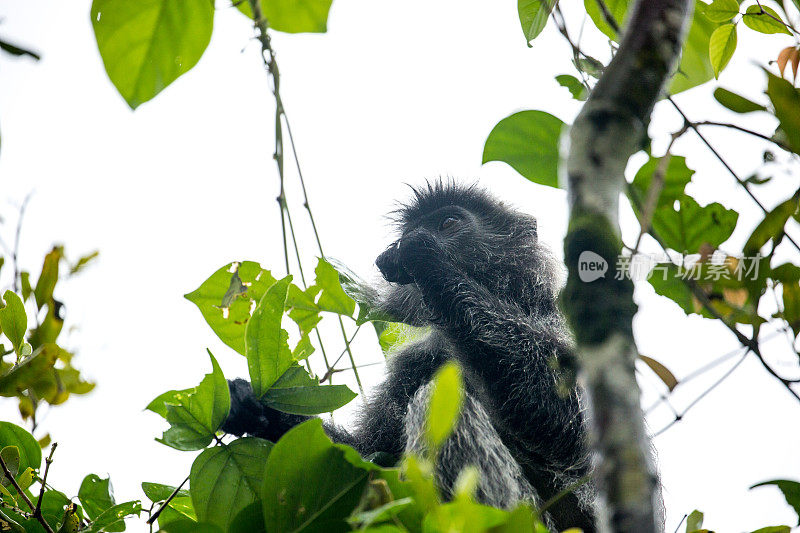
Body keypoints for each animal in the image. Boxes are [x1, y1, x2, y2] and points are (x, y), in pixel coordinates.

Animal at [222, 181, 596, 528]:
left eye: (448, 223)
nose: (415, 240)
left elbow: (572, 429)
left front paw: (423, 253)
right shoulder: (414, 362)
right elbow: (359, 455)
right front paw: (250, 406)